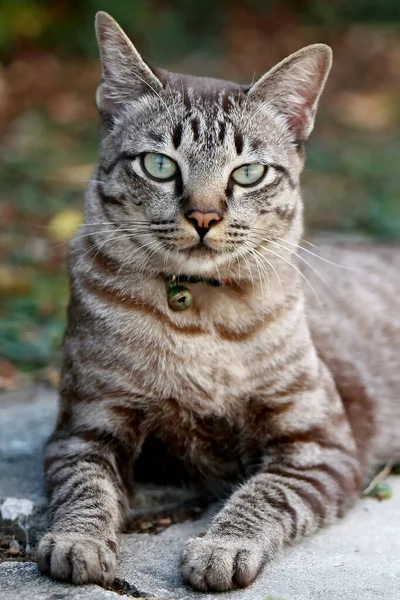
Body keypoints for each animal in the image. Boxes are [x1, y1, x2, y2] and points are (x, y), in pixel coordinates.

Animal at [36, 11, 400, 592]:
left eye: (248, 172)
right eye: (160, 165)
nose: (204, 217)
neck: (201, 318)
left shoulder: (317, 443)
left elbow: (262, 496)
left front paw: (219, 547)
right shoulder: (85, 425)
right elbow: (84, 488)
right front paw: (78, 541)